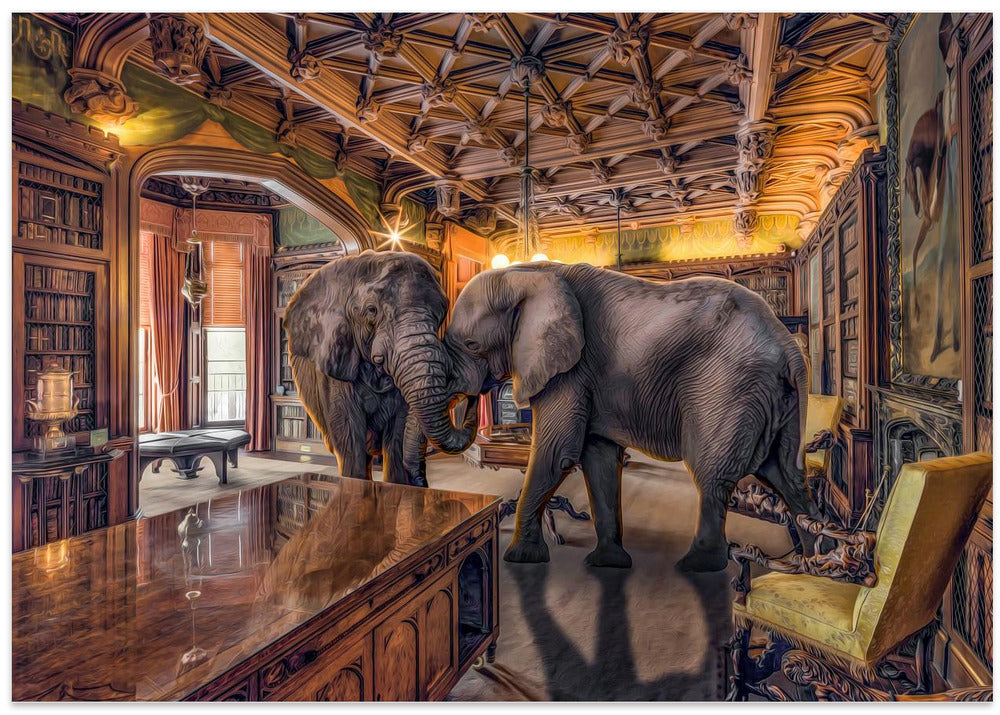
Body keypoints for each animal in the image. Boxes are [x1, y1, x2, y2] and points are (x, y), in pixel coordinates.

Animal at [437, 261, 815, 572]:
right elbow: (599, 457)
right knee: (787, 476)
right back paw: (810, 562)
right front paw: (608, 563)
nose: (474, 399)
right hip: (775, 401)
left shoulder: (571, 371)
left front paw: (520, 558)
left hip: (729, 388)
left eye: (472, 345)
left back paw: (697, 566)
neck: (527, 273)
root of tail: (790, 347)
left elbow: (558, 452)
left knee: (713, 475)